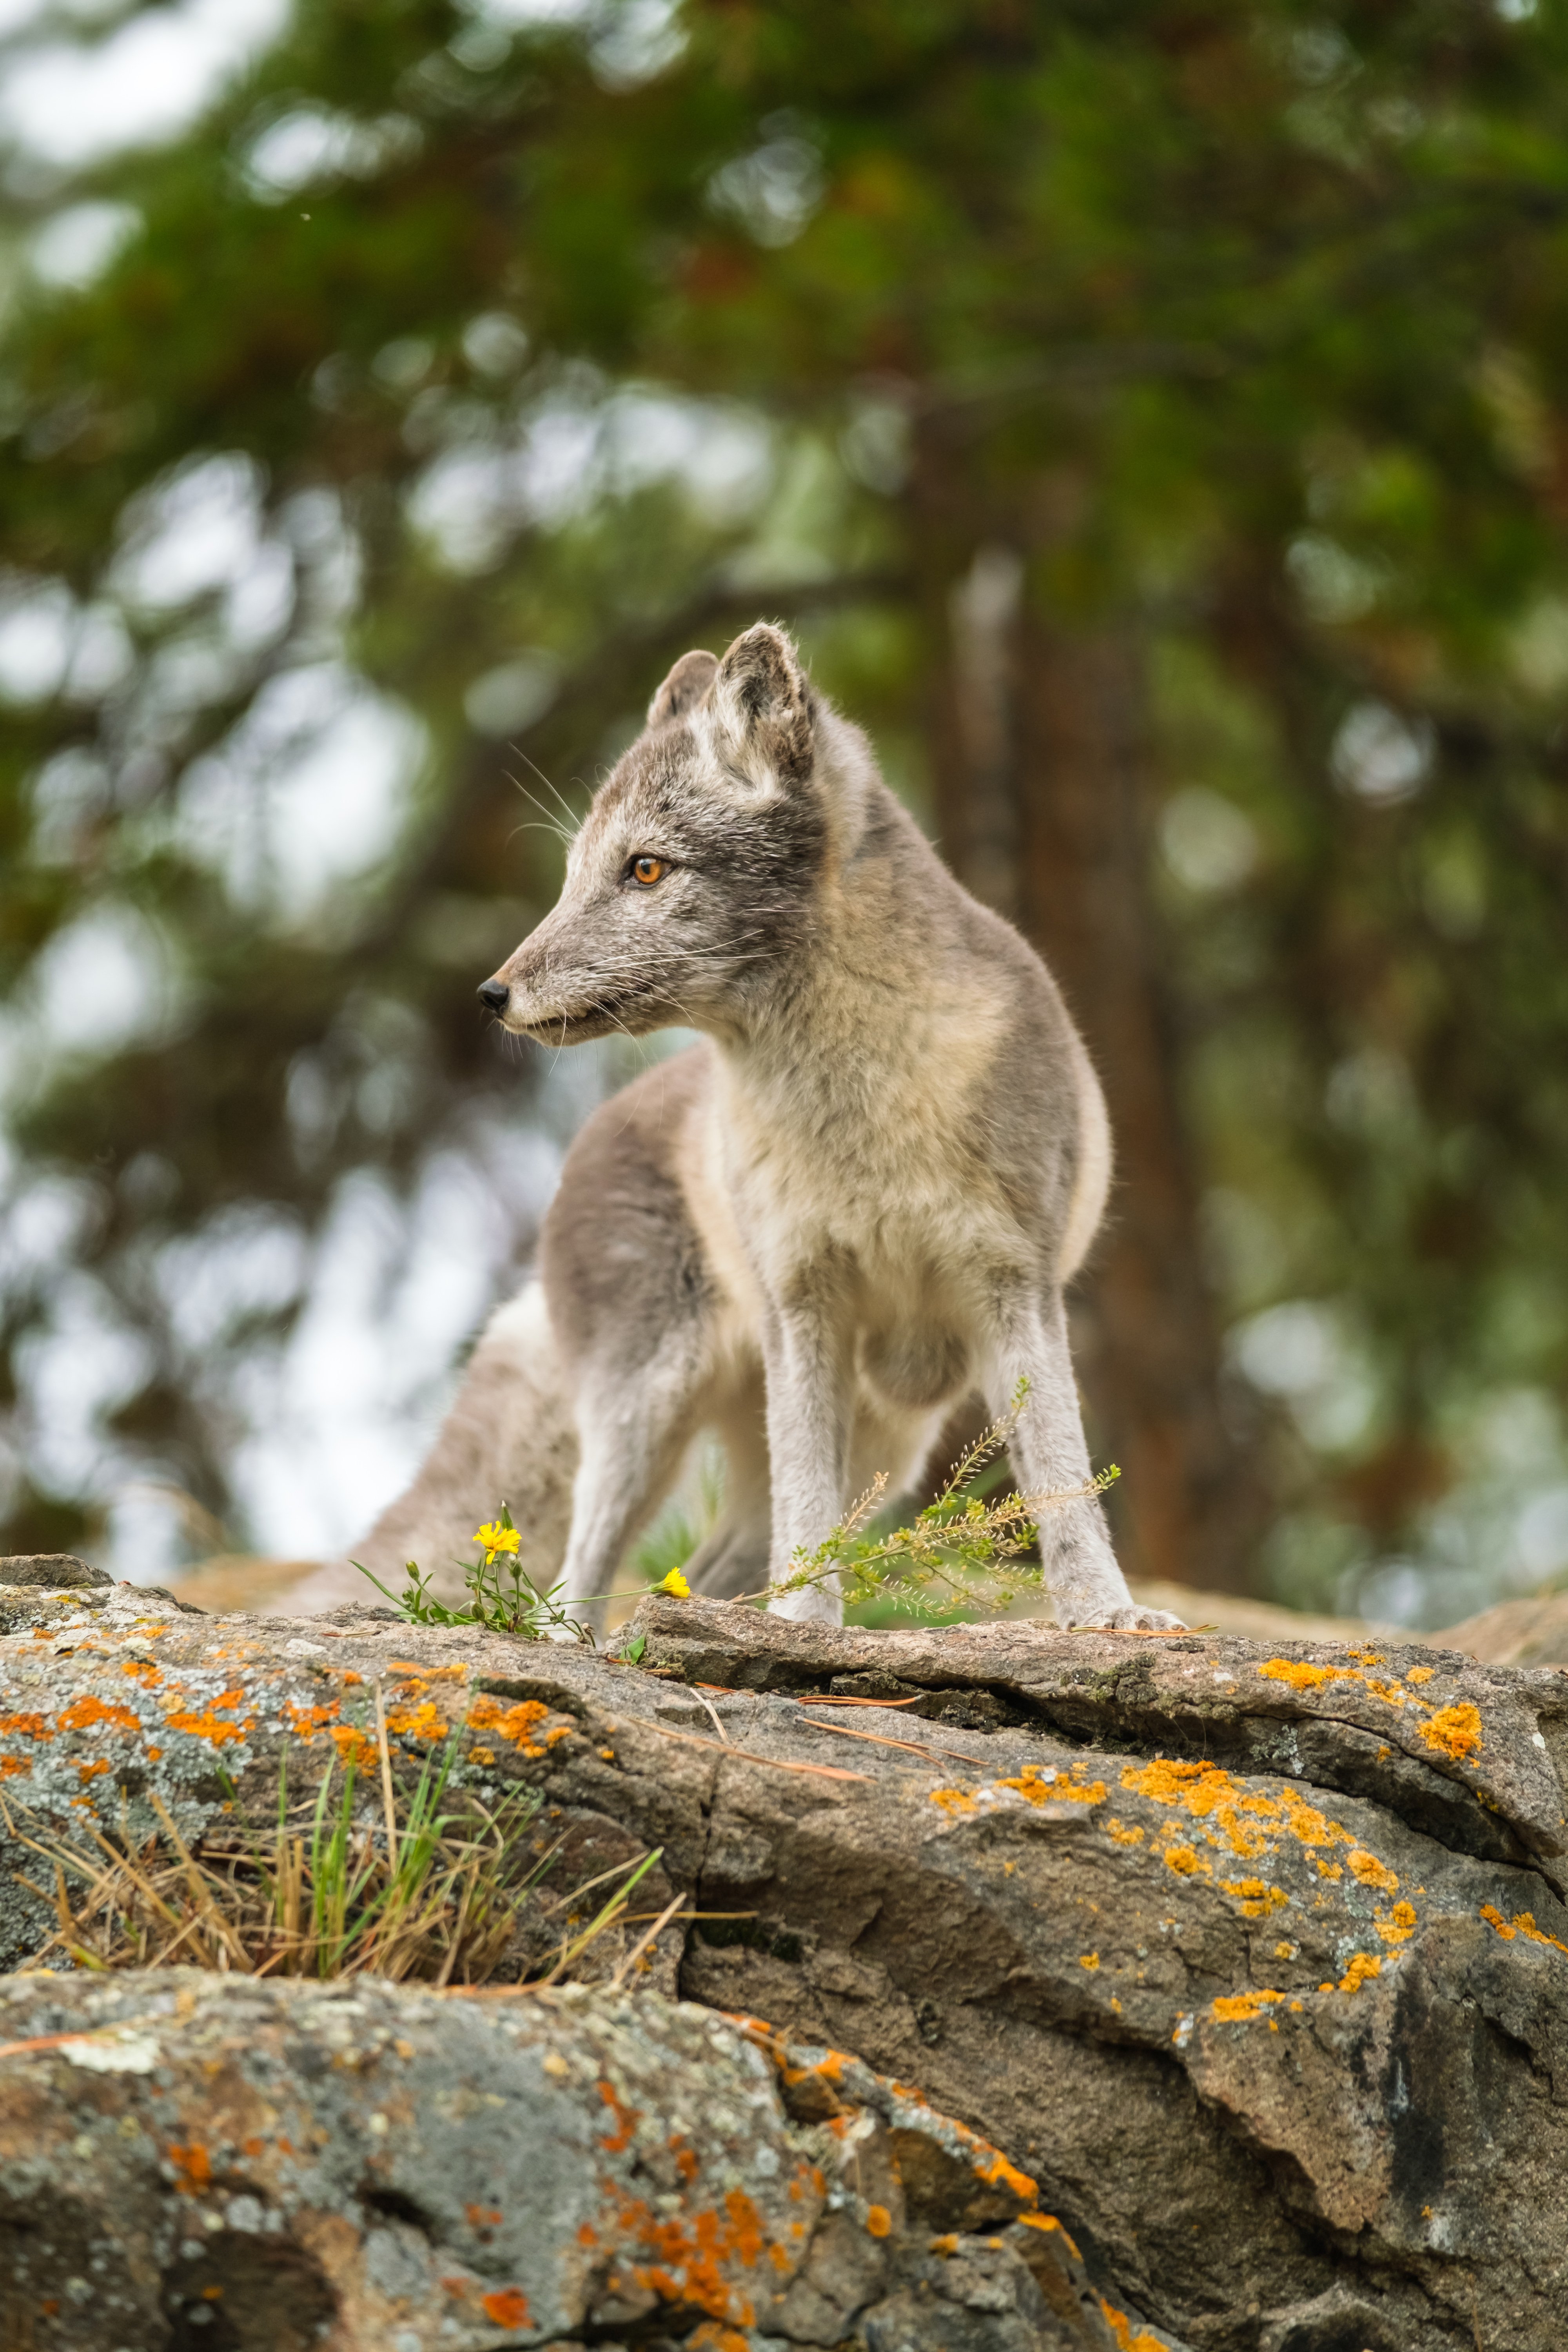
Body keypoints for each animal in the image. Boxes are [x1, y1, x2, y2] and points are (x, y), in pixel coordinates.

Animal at [336, 623, 1182, 1636]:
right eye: (573, 874)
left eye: (645, 868)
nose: (491, 995)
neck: (859, 1112)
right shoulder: (801, 1306)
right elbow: (807, 1513)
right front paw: (810, 1627)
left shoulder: (1014, 1291)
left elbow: (1061, 1479)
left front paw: (1104, 1614)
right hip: (648, 1412)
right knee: (576, 1587)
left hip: (888, 1432)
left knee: (701, 1570)